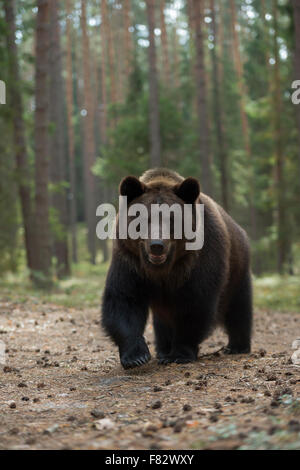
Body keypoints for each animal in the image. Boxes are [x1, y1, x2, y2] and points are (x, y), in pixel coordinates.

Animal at [102, 167, 252, 370]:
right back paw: (163, 349)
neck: (162, 270)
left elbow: (195, 304)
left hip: (237, 270)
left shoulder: (201, 257)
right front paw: (136, 356)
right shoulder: (130, 262)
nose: (157, 245)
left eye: (171, 219)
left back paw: (237, 346)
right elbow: (124, 300)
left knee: (238, 308)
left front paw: (180, 354)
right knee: (162, 321)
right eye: (143, 218)